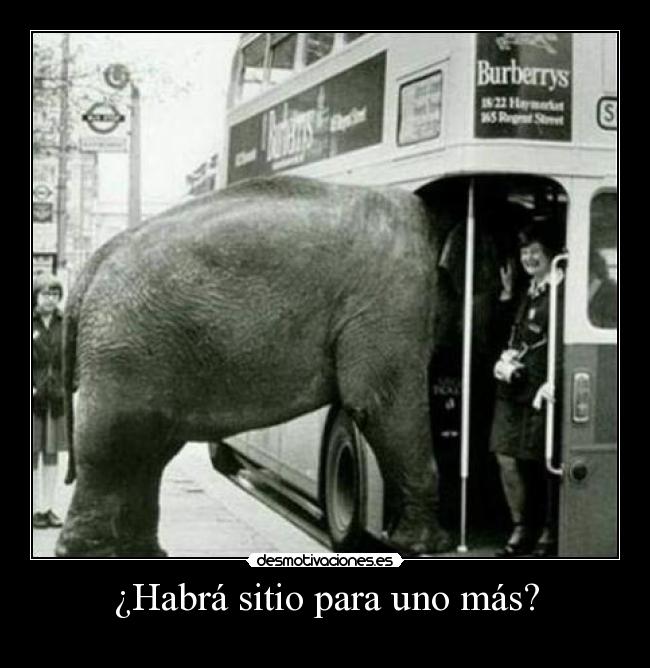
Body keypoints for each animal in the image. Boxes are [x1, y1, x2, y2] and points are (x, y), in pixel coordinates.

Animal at [55, 175, 453, 558]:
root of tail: (91, 268)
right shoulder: (392, 297)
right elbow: (378, 400)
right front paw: (432, 547)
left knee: (148, 449)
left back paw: (144, 551)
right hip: (125, 350)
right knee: (117, 443)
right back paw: (88, 551)